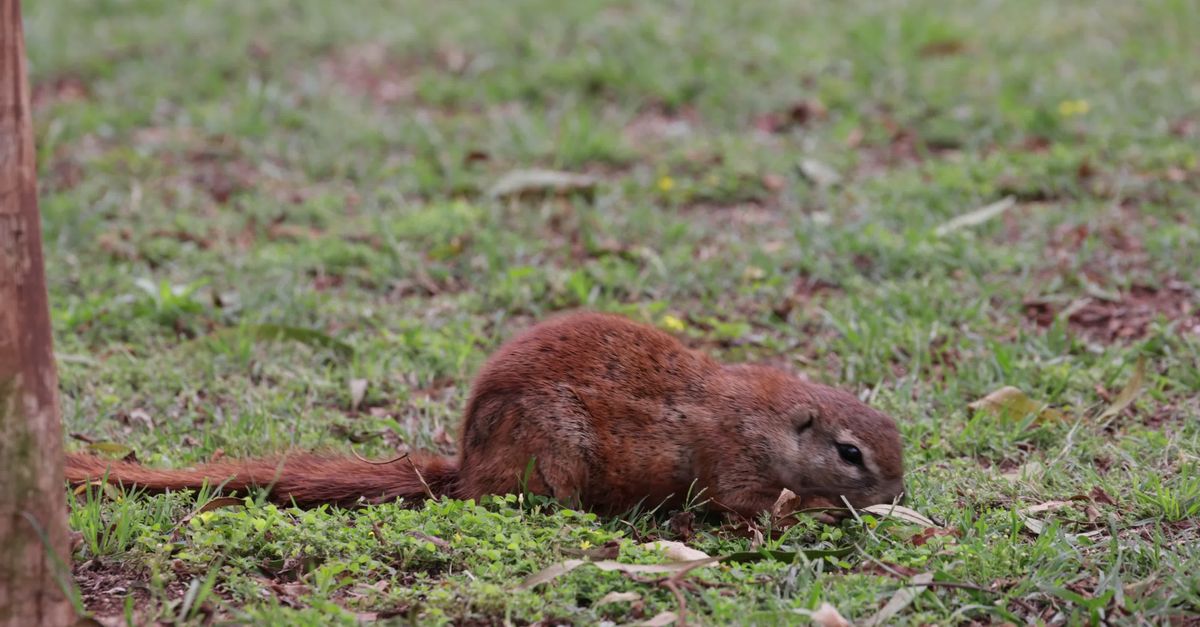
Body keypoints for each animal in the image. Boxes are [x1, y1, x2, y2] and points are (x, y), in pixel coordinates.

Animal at [65, 311, 905, 521]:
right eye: (851, 452)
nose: (897, 491)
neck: (763, 413)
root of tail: (467, 459)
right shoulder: (732, 465)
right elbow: (749, 509)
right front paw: (808, 510)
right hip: (555, 454)